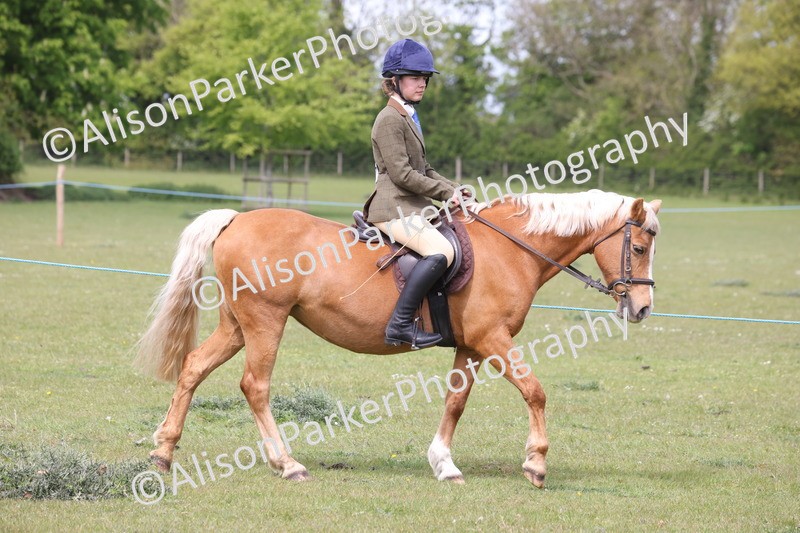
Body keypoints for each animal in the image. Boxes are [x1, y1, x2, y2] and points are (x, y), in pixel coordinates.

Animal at [136, 189, 661, 488]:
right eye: (638, 247)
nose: (641, 309)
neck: (510, 249)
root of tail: (236, 219)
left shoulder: (471, 345)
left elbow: (455, 402)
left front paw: (443, 464)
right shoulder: (492, 339)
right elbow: (535, 390)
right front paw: (536, 465)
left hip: (236, 324)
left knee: (193, 367)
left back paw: (163, 453)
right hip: (265, 321)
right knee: (255, 386)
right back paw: (287, 464)